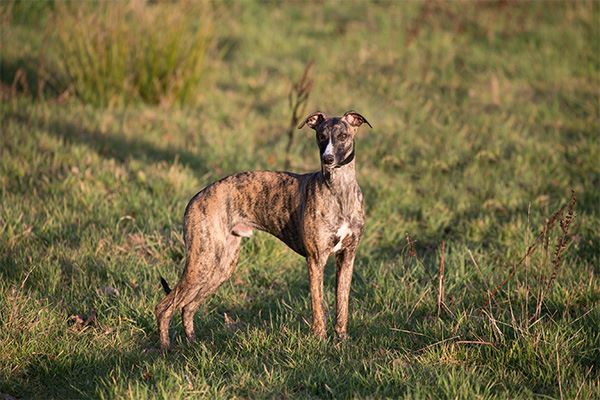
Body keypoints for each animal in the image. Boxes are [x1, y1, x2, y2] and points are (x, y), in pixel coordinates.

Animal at [155, 110, 370, 350]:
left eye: (342, 135)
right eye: (321, 136)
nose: (328, 159)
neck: (339, 191)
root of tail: (194, 199)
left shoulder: (347, 257)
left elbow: (342, 304)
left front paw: (342, 341)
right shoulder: (316, 260)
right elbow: (318, 307)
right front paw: (321, 342)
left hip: (221, 266)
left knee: (187, 306)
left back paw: (193, 344)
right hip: (202, 260)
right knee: (164, 306)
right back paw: (165, 349)